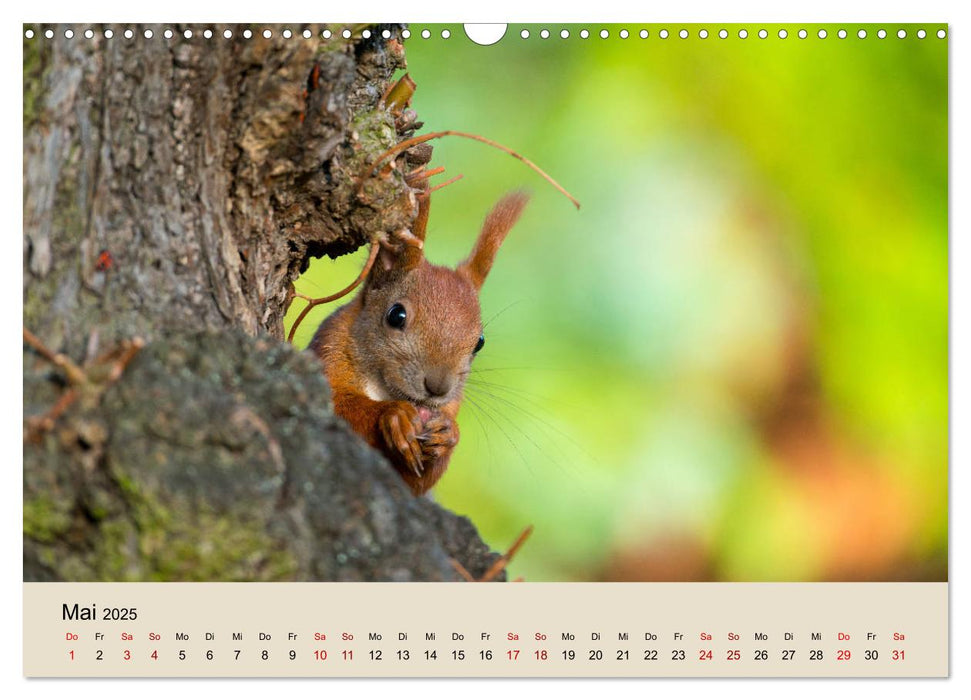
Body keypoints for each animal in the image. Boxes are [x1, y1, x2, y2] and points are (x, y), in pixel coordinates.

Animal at [310, 189, 532, 494]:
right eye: (396, 315)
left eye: (480, 342)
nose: (438, 388)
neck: (385, 387)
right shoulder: (330, 349)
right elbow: (336, 404)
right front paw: (394, 416)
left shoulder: (452, 404)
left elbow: (417, 483)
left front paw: (448, 434)